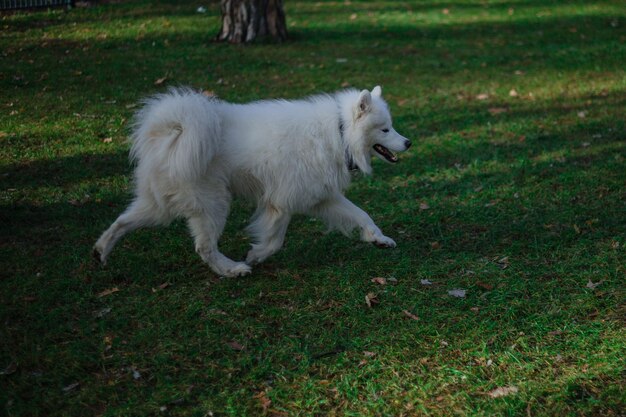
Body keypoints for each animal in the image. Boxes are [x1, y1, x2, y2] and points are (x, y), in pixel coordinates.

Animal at [94, 85, 410, 276]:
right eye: (385, 129)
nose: (408, 142)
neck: (339, 132)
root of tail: (173, 130)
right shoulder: (281, 202)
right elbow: (275, 240)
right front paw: (256, 256)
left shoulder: (323, 197)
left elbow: (362, 215)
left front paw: (379, 239)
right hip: (214, 202)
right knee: (204, 247)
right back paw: (232, 269)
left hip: (160, 204)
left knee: (123, 221)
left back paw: (101, 251)